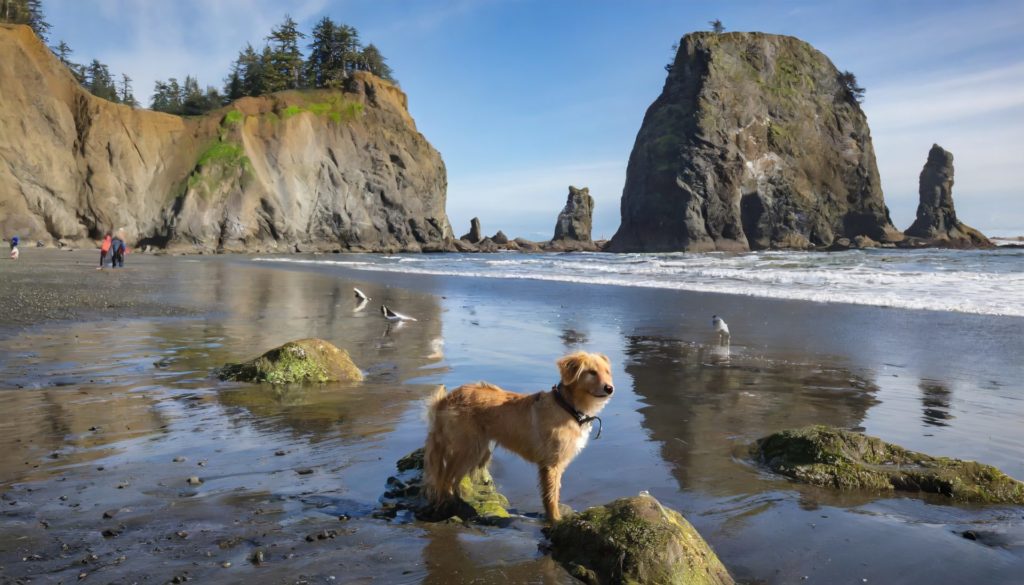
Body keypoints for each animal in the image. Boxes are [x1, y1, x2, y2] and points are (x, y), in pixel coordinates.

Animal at [423, 352, 614, 522]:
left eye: (607, 372)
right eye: (591, 372)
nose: (610, 388)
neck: (567, 406)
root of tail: (445, 400)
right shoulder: (552, 464)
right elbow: (551, 495)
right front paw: (556, 520)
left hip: (477, 450)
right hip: (469, 449)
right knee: (446, 479)